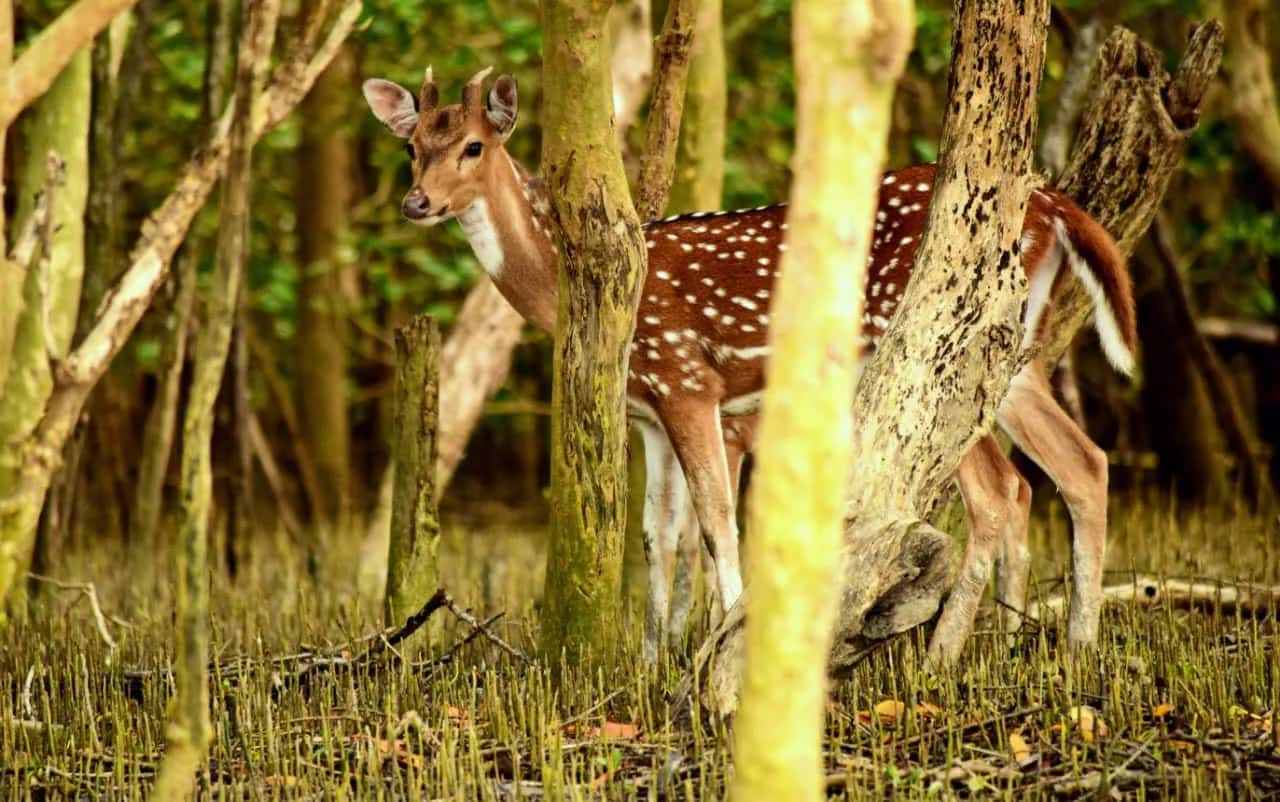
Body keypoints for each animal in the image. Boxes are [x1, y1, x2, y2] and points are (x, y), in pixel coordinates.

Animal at [362, 67, 1137, 664]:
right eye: (410, 147)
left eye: (472, 146)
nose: (416, 201)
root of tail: (1050, 202)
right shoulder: (648, 413)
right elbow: (657, 535)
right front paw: (652, 660)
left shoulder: (687, 381)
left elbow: (714, 522)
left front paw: (713, 648)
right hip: (1014, 358)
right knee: (1078, 464)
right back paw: (1064, 646)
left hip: (941, 346)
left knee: (1003, 487)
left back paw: (948, 658)